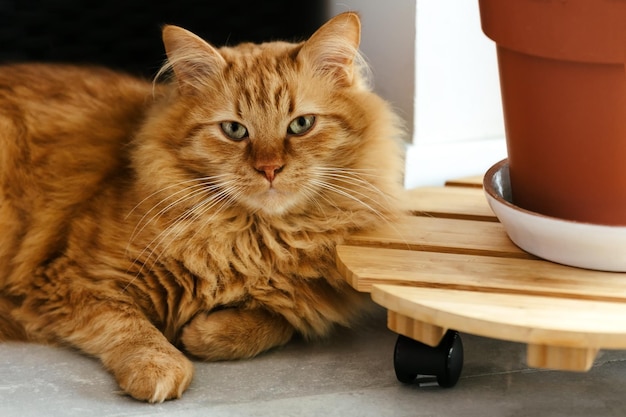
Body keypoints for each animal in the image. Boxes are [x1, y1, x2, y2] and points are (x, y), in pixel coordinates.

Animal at [0, 13, 400, 400]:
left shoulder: (306, 299)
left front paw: (204, 334)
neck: (254, 240)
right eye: (234, 130)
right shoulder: (76, 279)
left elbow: (278, 321)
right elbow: (130, 328)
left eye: (301, 124)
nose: (269, 168)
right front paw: (160, 367)